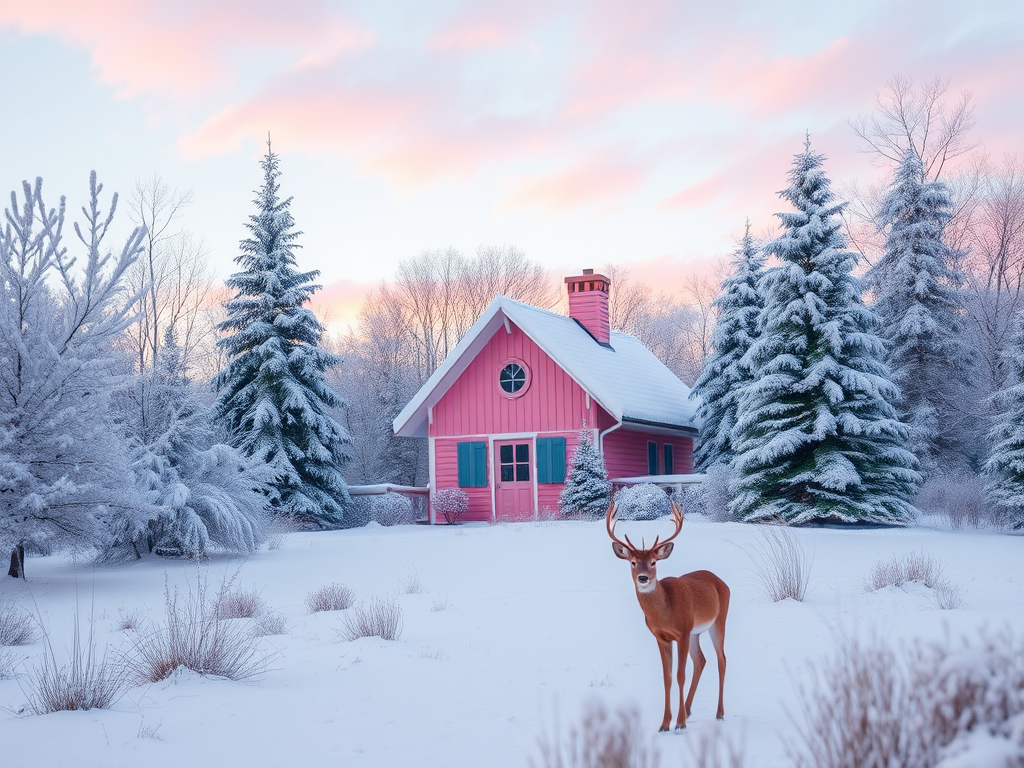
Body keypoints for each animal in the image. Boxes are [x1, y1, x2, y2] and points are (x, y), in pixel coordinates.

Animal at [607, 501, 730, 732]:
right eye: (633, 562)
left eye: (654, 562)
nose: (643, 578)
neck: (665, 612)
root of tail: (720, 580)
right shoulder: (662, 637)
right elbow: (668, 678)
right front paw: (664, 723)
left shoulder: (682, 632)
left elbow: (680, 675)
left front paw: (679, 723)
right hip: (696, 632)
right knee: (701, 660)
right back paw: (689, 709)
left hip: (718, 620)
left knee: (721, 659)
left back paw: (719, 713)